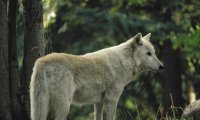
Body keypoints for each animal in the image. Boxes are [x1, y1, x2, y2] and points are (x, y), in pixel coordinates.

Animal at [30, 33, 164, 120]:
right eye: (148, 54)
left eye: (154, 53)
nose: (162, 66)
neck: (124, 61)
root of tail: (42, 61)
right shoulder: (111, 100)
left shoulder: (99, 102)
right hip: (64, 106)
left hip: (41, 105)